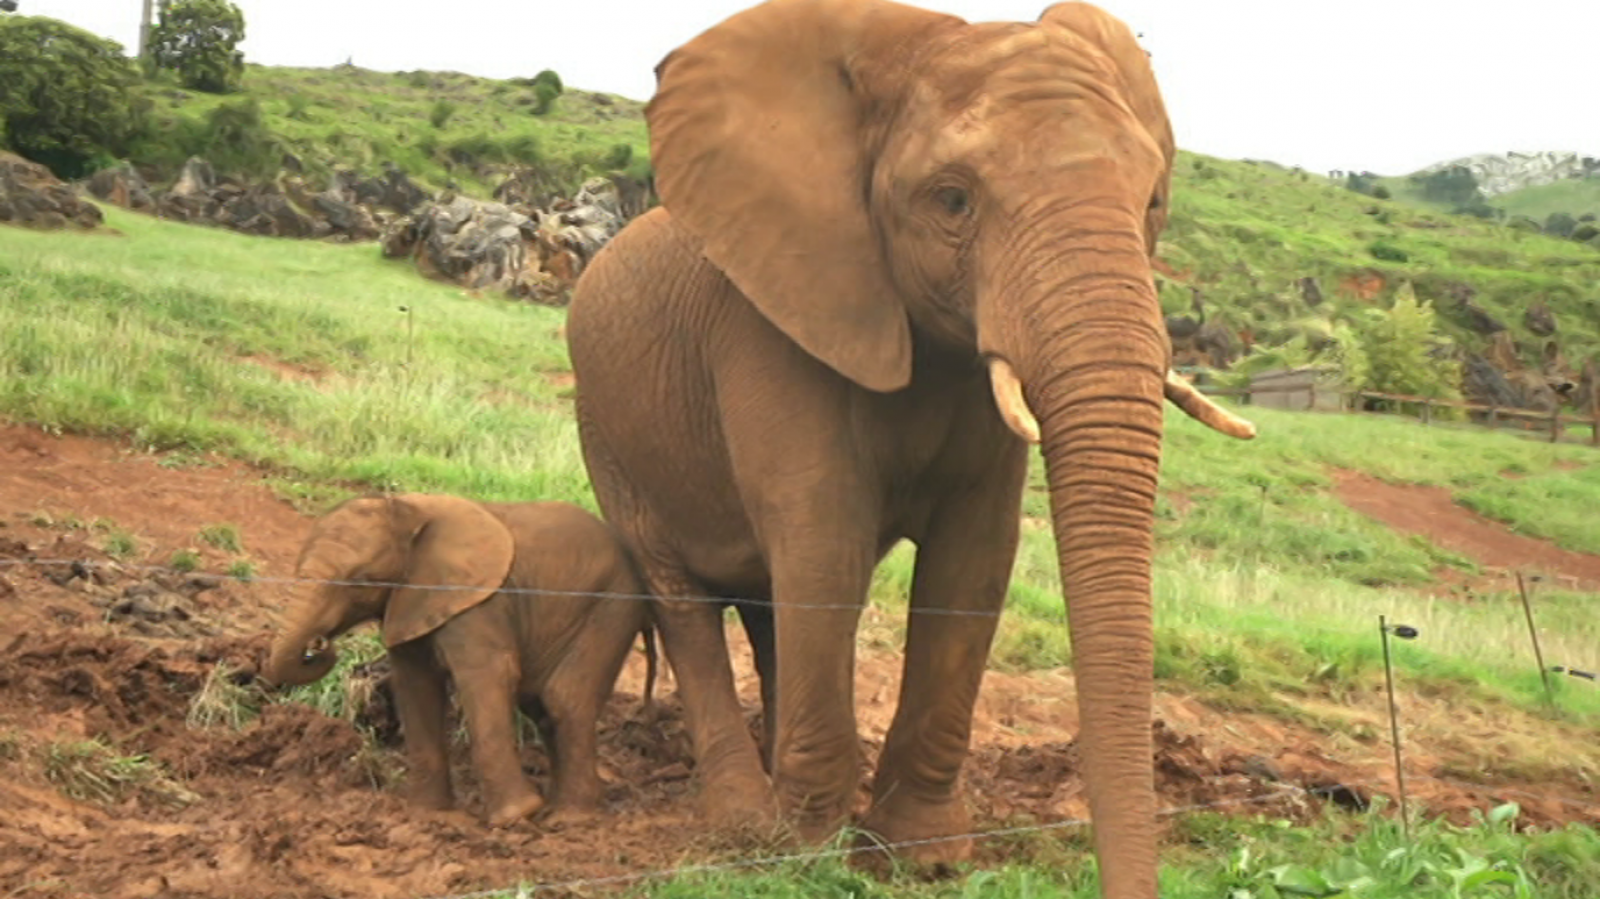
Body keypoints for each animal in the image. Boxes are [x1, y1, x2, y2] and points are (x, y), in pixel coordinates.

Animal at [262, 492, 656, 825]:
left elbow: (487, 677)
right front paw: (428, 815)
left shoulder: (477, 605)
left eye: (359, 581)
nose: (320, 644)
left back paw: (568, 819)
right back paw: (559, 811)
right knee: (542, 707)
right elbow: (416, 687)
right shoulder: (409, 603)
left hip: (612, 607)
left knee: (565, 700)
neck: (408, 509)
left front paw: (514, 818)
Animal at [569, 1, 1254, 889]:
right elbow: (825, 540)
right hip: (606, 431)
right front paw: (808, 853)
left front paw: (919, 857)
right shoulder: (777, 318)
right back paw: (746, 825)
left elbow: (974, 560)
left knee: (765, 601)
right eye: (953, 200)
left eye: (1153, 203)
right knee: (683, 595)